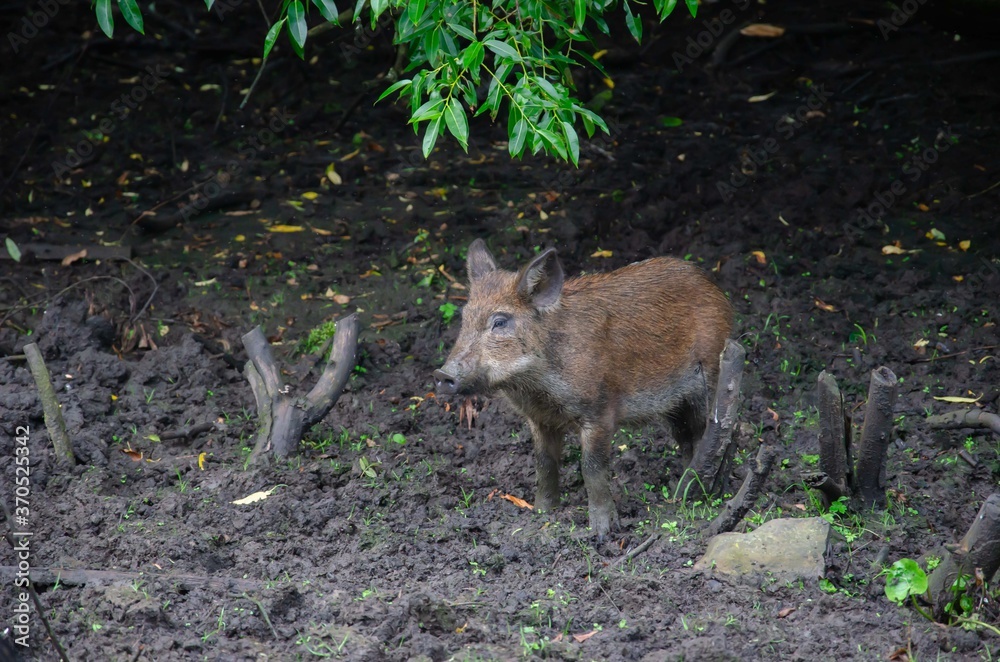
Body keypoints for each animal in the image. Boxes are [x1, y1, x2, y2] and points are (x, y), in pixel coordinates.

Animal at [433, 239, 732, 537]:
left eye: (500, 321)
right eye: (464, 317)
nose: (441, 374)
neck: (536, 386)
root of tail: (716, 289)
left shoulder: (599, 412)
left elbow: (592, 468)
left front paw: (602, 531)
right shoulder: (538, 419)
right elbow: (544, 463)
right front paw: (541, 513)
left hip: (710, 378)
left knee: (718, 432)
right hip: (676, 404)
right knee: (686, 438)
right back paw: (682, 490)